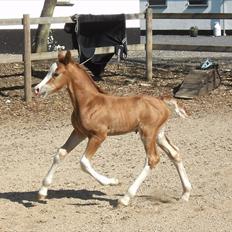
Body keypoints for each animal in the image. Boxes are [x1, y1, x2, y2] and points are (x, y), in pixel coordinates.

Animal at [34, 51, 190, 206]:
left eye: (56, 74)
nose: (37, 89)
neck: (89, 103)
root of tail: (161, 101)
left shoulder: (99, 136)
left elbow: (84, 162)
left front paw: (111, 181)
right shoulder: (79, 133)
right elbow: (60, 154)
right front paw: (42, 192)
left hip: (148, 133)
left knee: (153, 159)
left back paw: (125, 198)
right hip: (158, 134)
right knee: (174, 154)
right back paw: (185, 193)